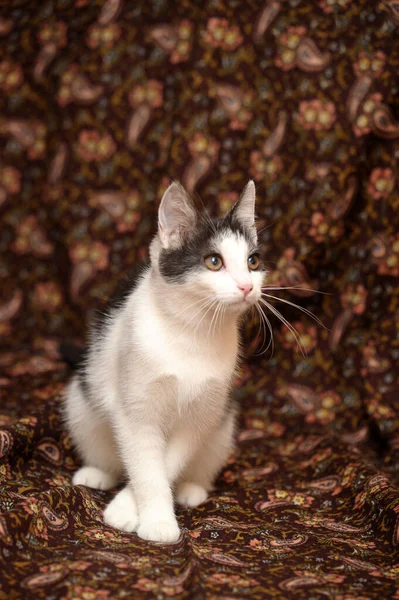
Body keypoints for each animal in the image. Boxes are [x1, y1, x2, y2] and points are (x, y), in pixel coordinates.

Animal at [65, 179, 266, 544]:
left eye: (253, 261)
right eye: (213, 261)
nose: (247, 286)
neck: (191, 333)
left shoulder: (201, 414)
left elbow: (167, 462)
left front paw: (135, 510)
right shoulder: (135, 408)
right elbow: (146, 465)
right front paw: (151, 519)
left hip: (223, 425)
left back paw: (191, 488)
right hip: (80, 399)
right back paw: (96, 472)